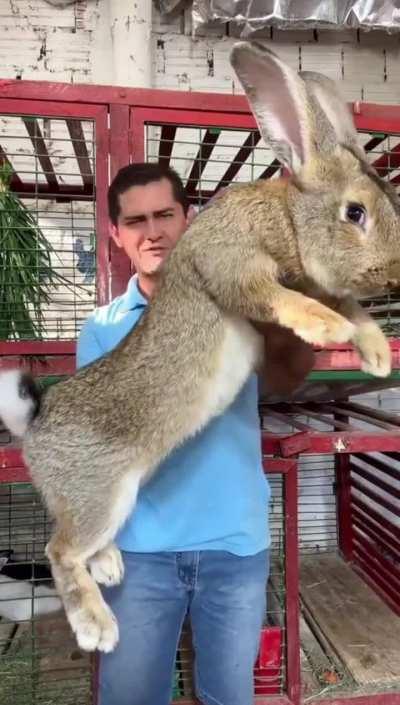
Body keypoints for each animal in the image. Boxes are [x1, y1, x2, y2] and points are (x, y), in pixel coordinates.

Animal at [0, 41, 400, 654]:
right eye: (355, 213)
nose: (395, 273)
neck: (287, 219)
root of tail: (35, 423)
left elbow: (354, 309)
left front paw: (375, 352)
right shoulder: (232, 263)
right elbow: (278, 297)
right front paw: (328, 328)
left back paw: (111, 566)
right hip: (100, 492)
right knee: (59, 550)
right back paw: (97, 626)